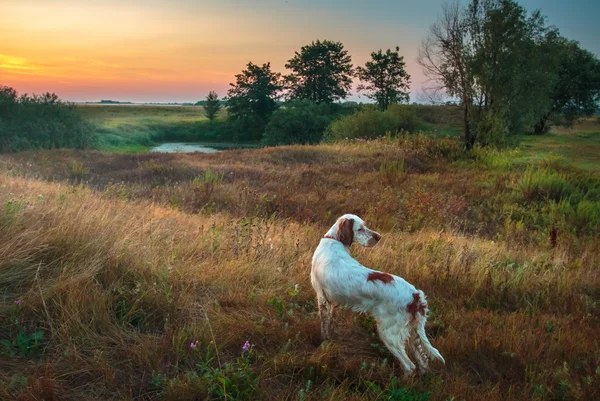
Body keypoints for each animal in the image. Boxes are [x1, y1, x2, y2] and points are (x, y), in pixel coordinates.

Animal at [312, 214, 442, 374]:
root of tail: (416, 296)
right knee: (423, 361)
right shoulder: (332, 303)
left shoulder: (322, 298)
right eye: (360, 229)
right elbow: (330, 324)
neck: (333, 240)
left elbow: (324, 327)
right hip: (413, 332)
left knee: (409, 366)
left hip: (388, 333)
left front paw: (323, 343)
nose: (379, 237)